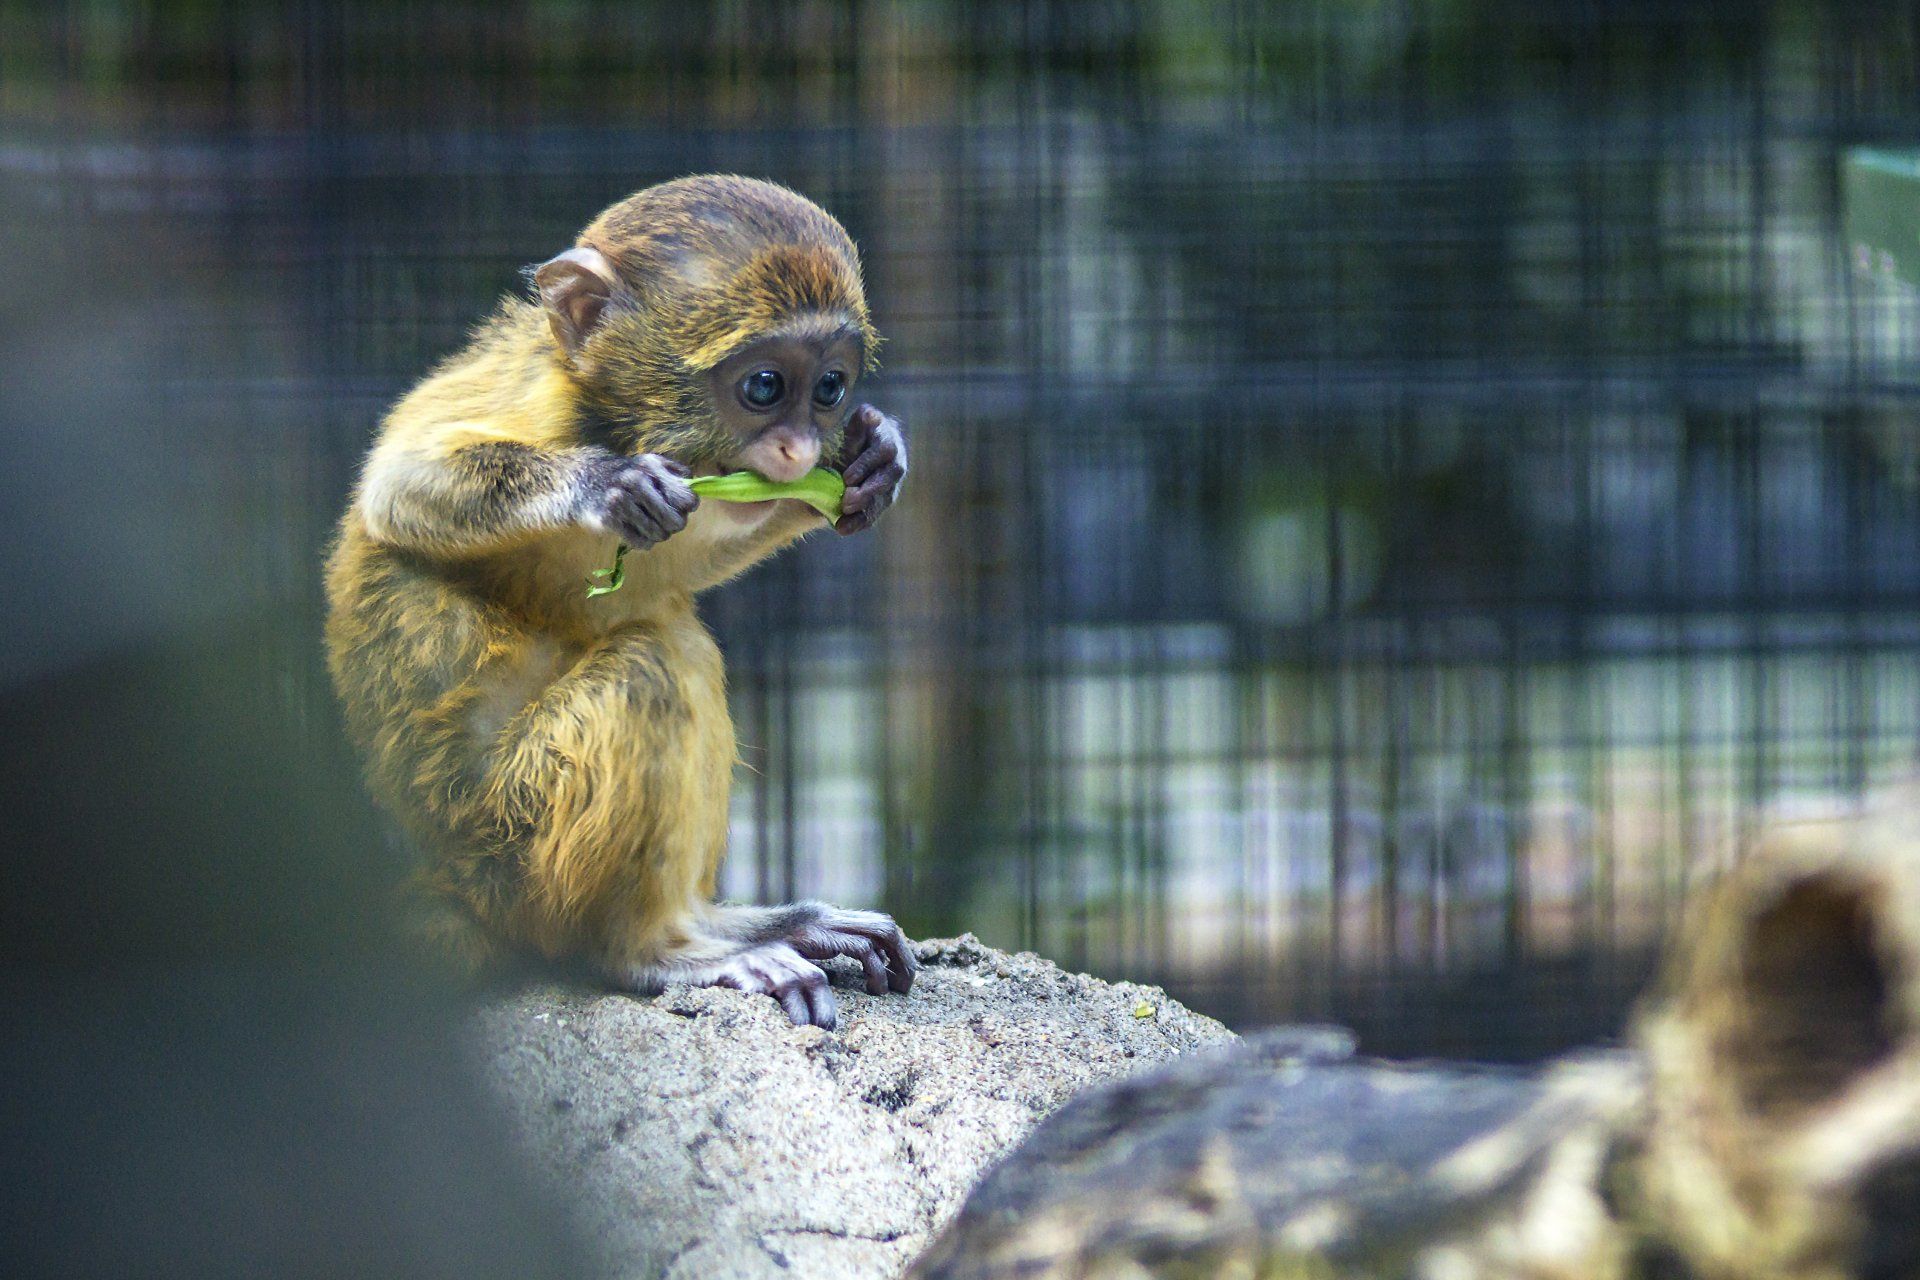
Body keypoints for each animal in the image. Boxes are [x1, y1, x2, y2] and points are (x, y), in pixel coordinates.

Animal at [324, 175, 915, 1028]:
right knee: (653, 667)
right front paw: (605, 486)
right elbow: (398, 487)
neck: (618, 419)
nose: (801, 450)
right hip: (515, 846)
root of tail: (457, 884)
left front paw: (874, 459)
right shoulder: (537, 399)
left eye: (830, 388)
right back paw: (653, 949)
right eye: (764, 386)